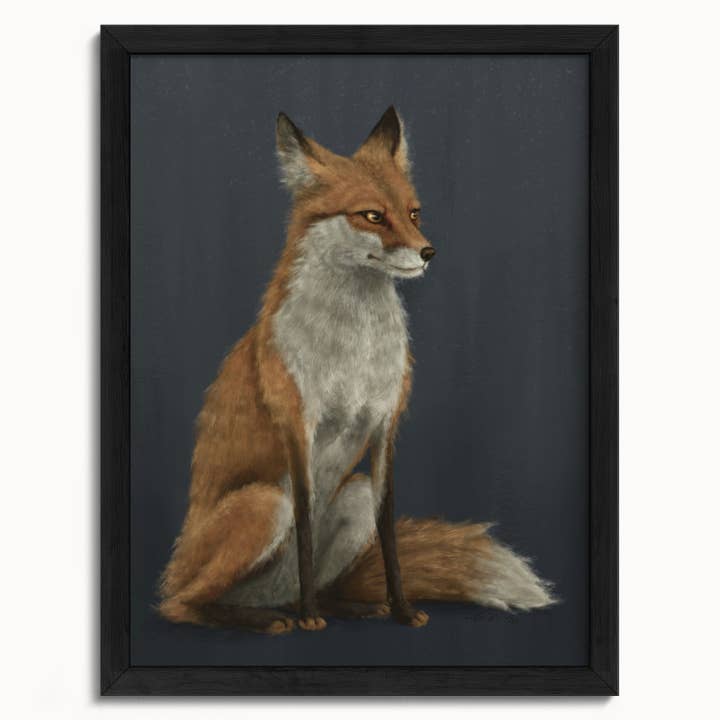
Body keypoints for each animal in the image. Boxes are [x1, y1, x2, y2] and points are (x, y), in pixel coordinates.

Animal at [157, 106, 555, 634]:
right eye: (372, 215)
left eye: (413, 213)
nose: (429, 252)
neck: (355, 349)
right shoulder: (298, 427)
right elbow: (305, 526)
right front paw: (310, 620)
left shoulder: (385, 426)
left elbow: (389, 535)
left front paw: (401, 609)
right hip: (264, 504)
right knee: (181, 604)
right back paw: (268, 617)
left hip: (354, 495)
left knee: (317, 583)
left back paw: (346, 606)